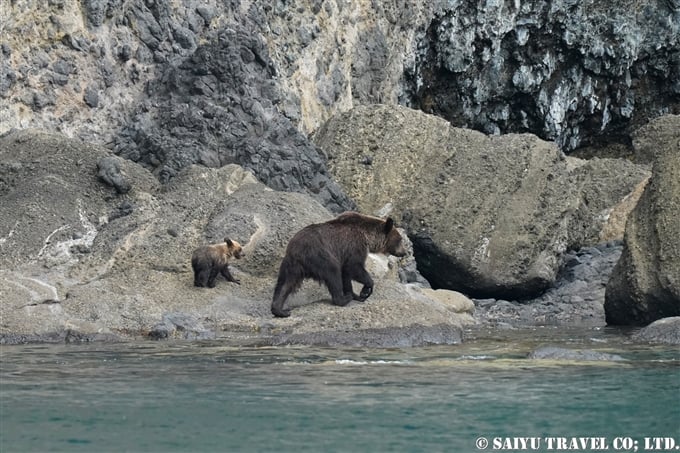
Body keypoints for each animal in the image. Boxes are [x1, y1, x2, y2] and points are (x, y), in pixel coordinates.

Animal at [270, 212, 406, 318]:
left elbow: (346, 275)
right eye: (400, 239)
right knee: (332, 272)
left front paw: (355, 294)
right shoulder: (353, 245)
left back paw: (280, 310)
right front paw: (365, 290)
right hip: (320, 255)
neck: (367, 236)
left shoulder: (345, 254)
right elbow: (354, 267)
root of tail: (296, 250)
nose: (404, 252)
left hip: (290, 265)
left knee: (284, 284)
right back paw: (342, 299)